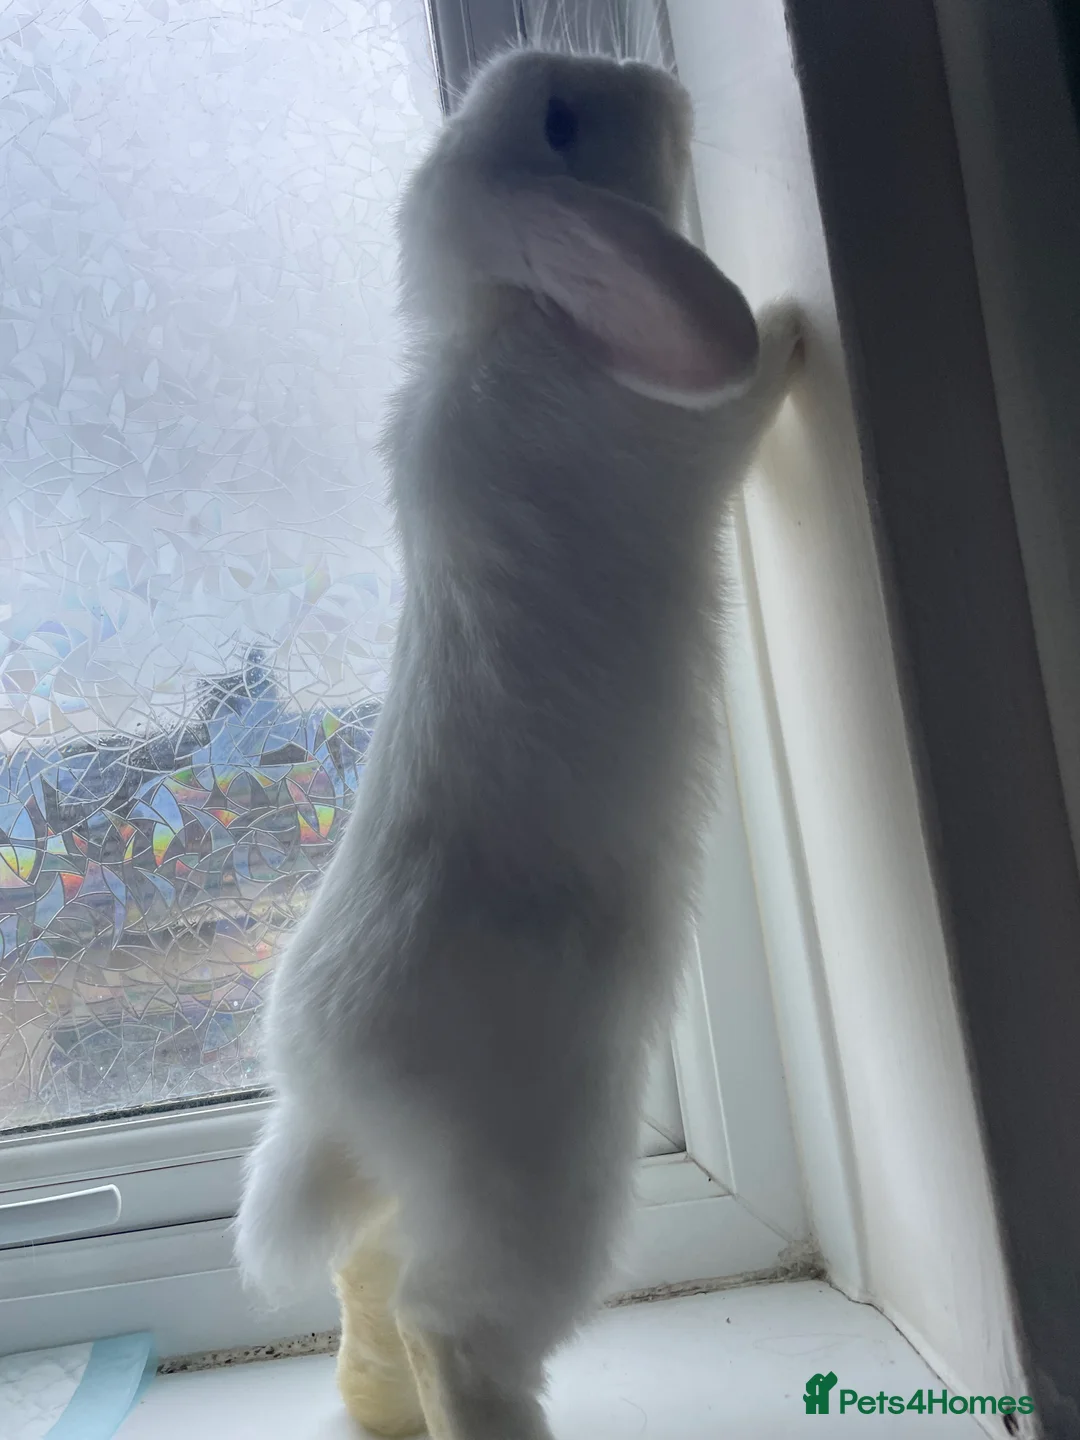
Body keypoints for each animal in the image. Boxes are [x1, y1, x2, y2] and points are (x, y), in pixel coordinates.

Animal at [235, 43, 803, 1440]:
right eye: (559, 123)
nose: (659, 78)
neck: (509, 323)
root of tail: (323, 1072)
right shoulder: (701, 426)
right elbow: (751, 388)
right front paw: (791, 325)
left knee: (370, 1276)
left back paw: (378, 1406)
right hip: (546, 1187)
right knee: (450, 1321)